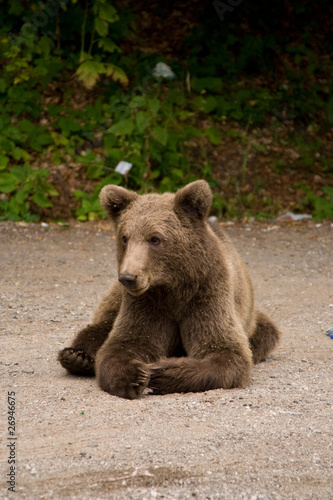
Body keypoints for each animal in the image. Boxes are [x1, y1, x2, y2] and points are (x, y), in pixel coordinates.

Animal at [57, 180, 280, 398]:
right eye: (125, 237)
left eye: (155, 238)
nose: (128, 277)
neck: (173, 286)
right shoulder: (147, 303)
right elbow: (125, 343)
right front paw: (135, 375)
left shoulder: (207, 294)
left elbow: (226, 350)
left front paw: (162, 372)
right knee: (104, 321)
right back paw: (77, 356)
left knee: (266, 333)